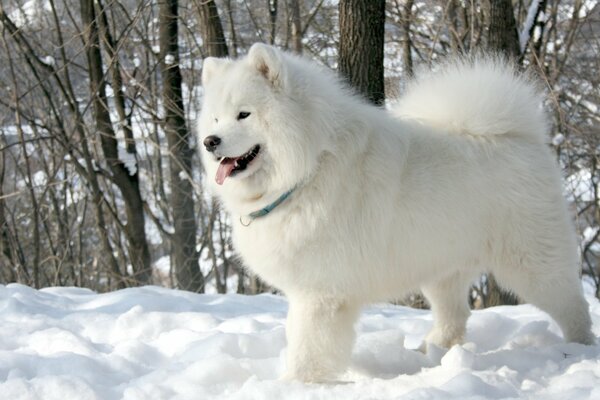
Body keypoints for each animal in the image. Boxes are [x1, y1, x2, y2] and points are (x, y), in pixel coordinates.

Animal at [198, 43, 596, 382]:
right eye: (215, 119)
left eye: (244, 114)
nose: (209, 142)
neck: (309, 167)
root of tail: (523, 137)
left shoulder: (321, 294)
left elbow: (309, 346)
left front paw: (298, 383)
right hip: (442, 265)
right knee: (455, 315)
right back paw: (432, 351)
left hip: (532, 264)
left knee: (573, 306)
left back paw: (579, 350)